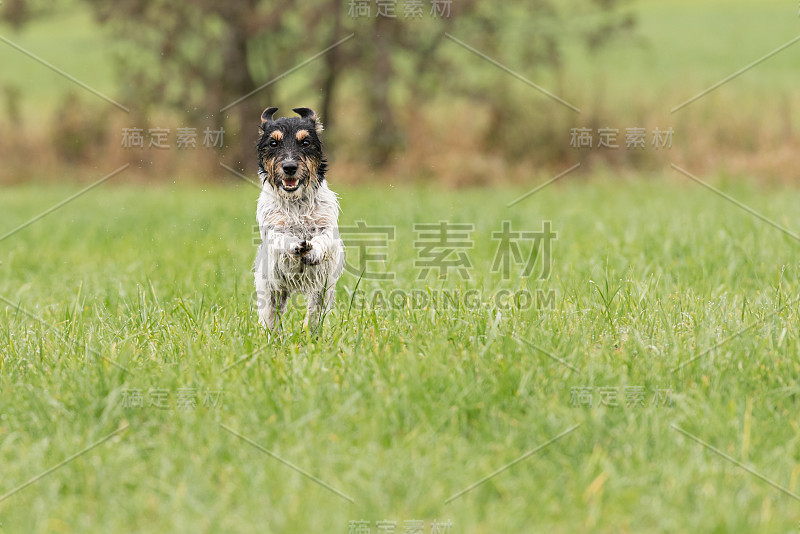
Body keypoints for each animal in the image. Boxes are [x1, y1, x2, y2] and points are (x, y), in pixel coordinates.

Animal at [256, 108, 344, 336]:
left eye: (305, 142)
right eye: (273, 143)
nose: (289, 167)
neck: (296, 203)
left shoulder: (327, 227)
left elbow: (322, 239)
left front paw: (313, 251)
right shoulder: (273, 228)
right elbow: (282, 238)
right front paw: (296, 245)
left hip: (322, 292)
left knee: (314, 315)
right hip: (271, 290)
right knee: (271, 317)